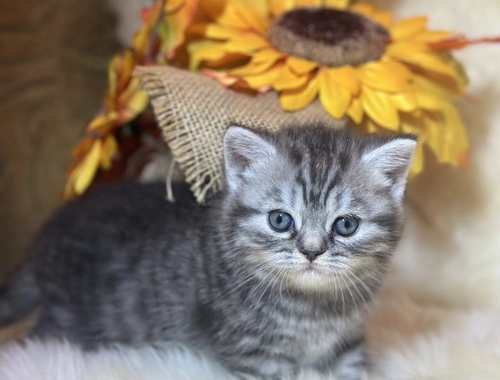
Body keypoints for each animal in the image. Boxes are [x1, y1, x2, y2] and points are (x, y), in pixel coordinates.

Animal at [0, 124, 414, 378]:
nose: (311, 251)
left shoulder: (348, 343)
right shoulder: (255, 354)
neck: (315, 310)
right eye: (281, 220)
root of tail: (47, 234)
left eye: (345, 225)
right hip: (70, 320)